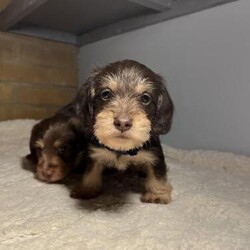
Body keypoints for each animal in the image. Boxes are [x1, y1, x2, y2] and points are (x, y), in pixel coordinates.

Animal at [71, 59, 174, 204]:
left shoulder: (154, 155)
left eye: (145, 98)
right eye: (106, 94)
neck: (122, 148)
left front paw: (157, 194)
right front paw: (87, 189)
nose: (123, 123)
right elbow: (91, 171)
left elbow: (157, 174)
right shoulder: (95, 153)